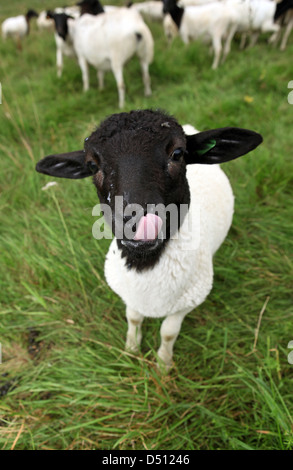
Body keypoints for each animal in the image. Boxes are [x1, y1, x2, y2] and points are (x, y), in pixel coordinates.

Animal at [34, 108, 262, 370]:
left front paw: (163, 364)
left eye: (177, 153)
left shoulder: (187, 303)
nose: (135, 218)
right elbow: (133, 318)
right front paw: (131, 349)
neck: (145, 264)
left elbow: (168, 332)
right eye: (92, 165)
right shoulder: (129, 294)